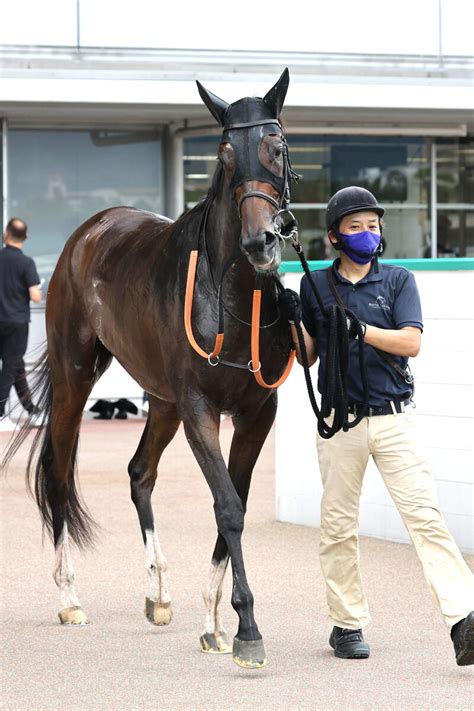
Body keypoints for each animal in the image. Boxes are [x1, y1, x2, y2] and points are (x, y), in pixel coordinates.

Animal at [4, 67, 296, 668]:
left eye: (276, 148)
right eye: (225, 154)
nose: (260, 241)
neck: (231, 296)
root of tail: (91, 229)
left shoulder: (258, 411)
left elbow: (234, 500)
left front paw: (213, 620)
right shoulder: (200, 408)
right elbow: (228, 506)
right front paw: (246, 628)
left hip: (161, 402)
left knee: (140, 472)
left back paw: (158, 592)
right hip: (77, 379)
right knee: (59, 472)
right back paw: (69, 598)